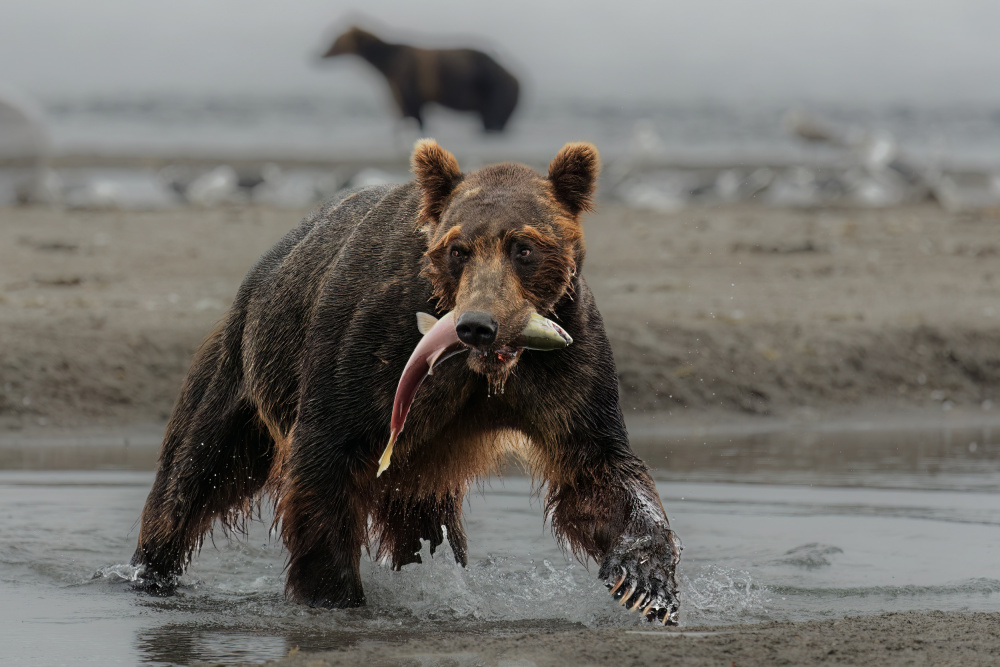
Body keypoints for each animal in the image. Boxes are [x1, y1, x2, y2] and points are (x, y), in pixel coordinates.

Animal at [129, 140, 684, 628]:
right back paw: (149, 572)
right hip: (242, 380)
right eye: (458, 249)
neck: (484, 371)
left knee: (424, 525)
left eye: (524, 248)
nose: (477, 325)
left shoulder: (566, 366)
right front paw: (334, 594)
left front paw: (645, 583)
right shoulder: (371, 352)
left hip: (419, 465)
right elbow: (325, 463)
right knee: (191, 476)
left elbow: (597, 469)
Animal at [322, 26, 524, 132]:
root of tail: (516, 75)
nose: (320, 53)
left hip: (492, 87)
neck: (386, 62)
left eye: (336, 40)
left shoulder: (407, 77)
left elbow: (412, 106)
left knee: (494, 115)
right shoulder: (396, 83)